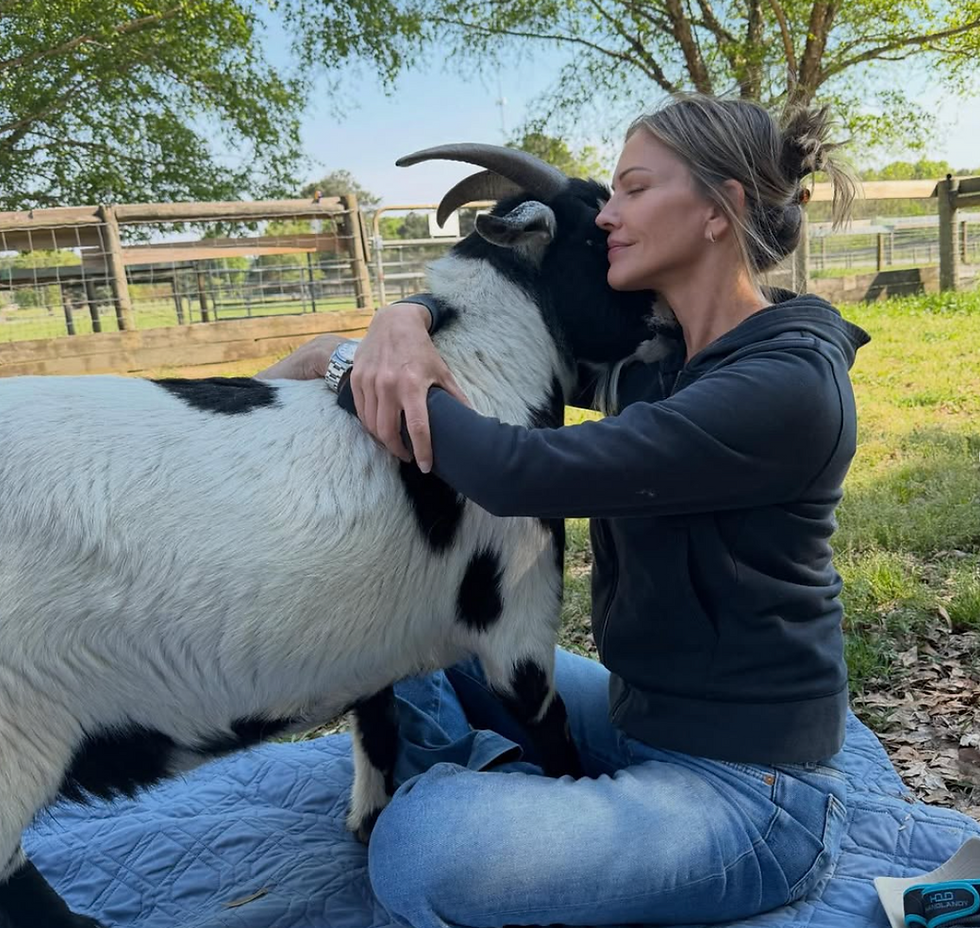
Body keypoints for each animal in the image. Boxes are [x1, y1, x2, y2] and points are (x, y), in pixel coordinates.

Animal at [0, 144, 671, 928]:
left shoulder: (370, 641)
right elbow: (552, 735)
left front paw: (366, 823)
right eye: (601, 235)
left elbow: (376, 723)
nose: (666, 318)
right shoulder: (516, 620)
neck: (477, 373)